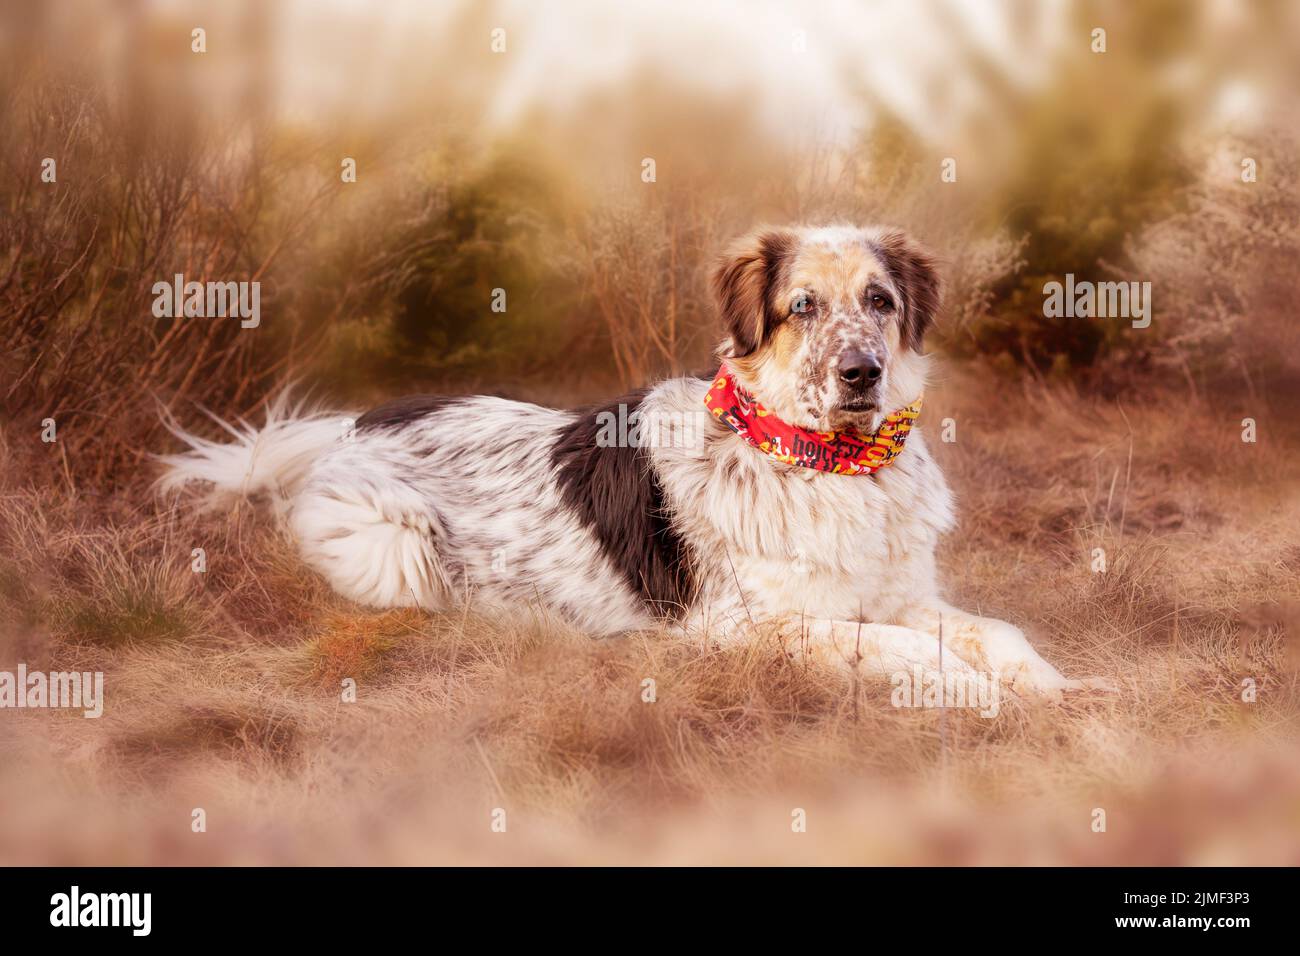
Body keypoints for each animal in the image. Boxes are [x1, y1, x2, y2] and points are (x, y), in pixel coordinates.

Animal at [157, 223, 1102, 697]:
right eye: (802, 306)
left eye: (880, 301)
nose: (862, 372)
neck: (827, 463)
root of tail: (348, 426)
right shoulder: (743, 625)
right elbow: (901, 648)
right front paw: (969, 692)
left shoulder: (905, 592)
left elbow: (997, 632)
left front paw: (1054, 685)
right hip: (397, 549)